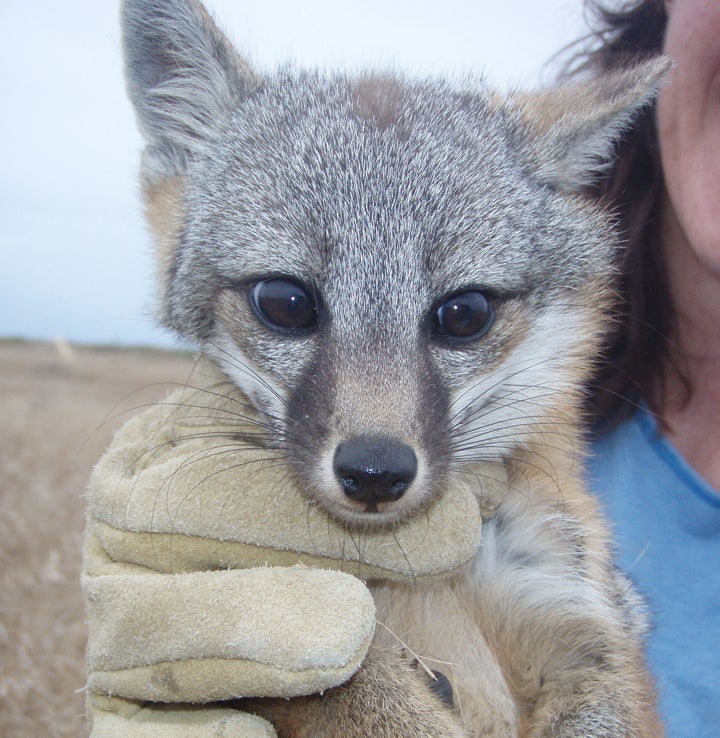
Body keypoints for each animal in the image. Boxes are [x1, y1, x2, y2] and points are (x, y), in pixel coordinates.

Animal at [121, 0, 668, 732]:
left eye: (464, 313)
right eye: (285, 302)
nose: (375, 471)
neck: (433, 581)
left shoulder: (571, 612)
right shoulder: (300, 612)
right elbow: (366, 687)